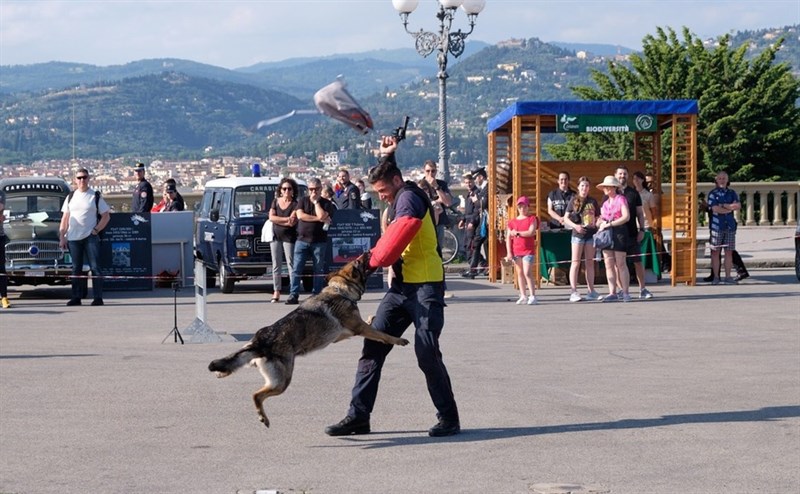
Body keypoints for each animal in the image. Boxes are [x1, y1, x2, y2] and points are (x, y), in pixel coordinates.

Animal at [208, 253, 406, 426]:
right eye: (359, 261)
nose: (368, 251)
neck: (340, 291)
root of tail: (260, 342)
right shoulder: (359, 328)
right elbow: (382, 334)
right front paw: (398, 340)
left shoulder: (345, 333)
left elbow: (370, 324)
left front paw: (372, 317)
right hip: (282, 382)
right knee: (256, 395)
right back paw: (263, 417)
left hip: (256, 357)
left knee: (236, 361)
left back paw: (222, 373)